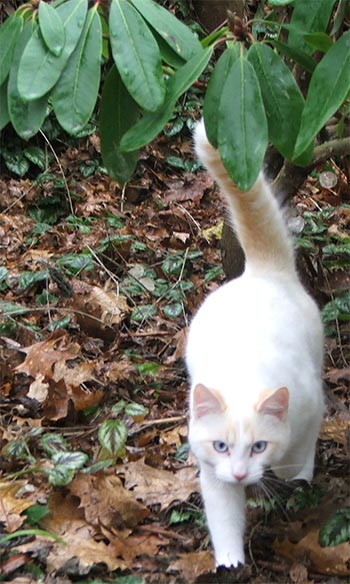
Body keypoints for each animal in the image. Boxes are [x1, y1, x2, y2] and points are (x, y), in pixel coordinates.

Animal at [186, 116, 326, 568]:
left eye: (259, 446)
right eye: (222, 446)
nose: (241, 473)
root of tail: (262, 270)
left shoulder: (311, 408)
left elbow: (301, 452)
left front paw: (296, 478)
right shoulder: (211, 471)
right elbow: (224, 519)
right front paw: (230, 563)